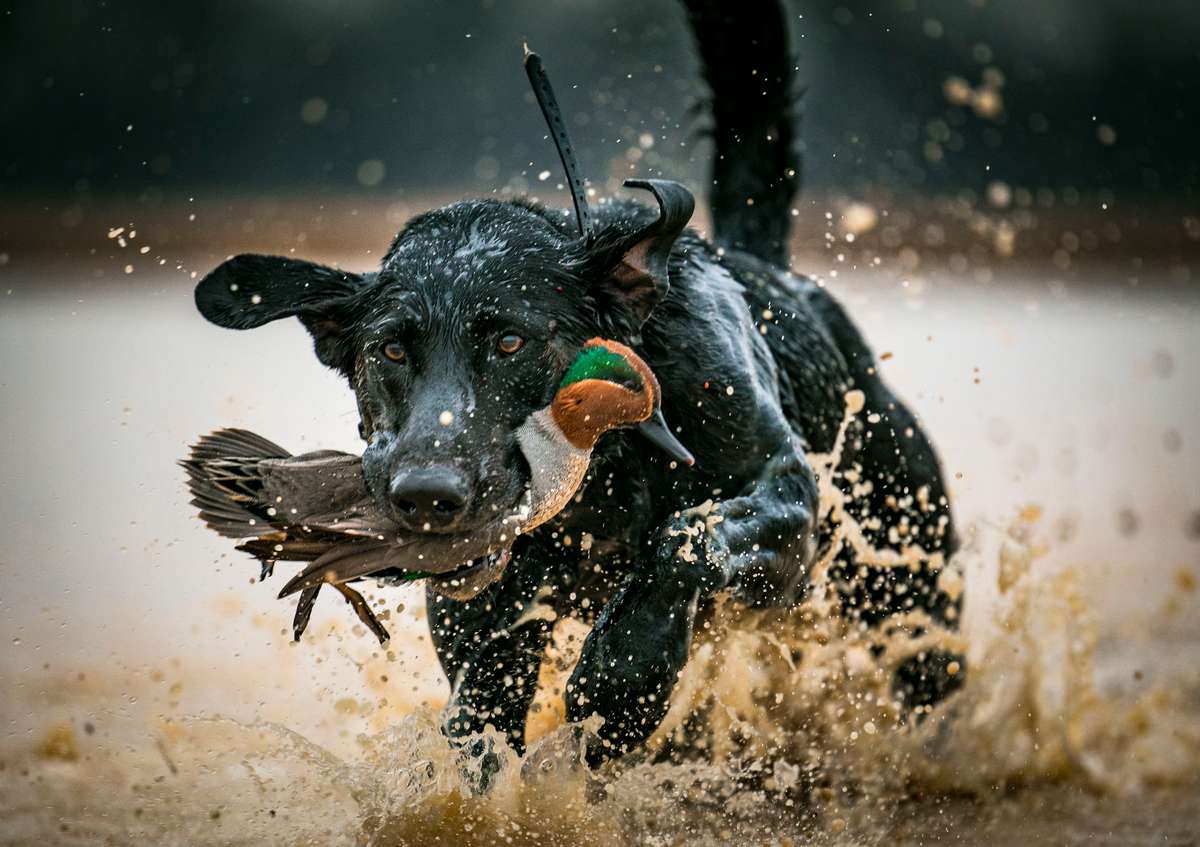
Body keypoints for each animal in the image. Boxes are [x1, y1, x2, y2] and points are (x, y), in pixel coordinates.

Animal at [196, 0, 964, 767]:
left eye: (511, 341)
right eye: (390, 349)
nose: (428, 497)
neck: (601, 483)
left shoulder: (787, 502)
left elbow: (688, 534)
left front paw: (626, 674)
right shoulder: (482, 623)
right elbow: (481, 725)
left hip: (909, 579)